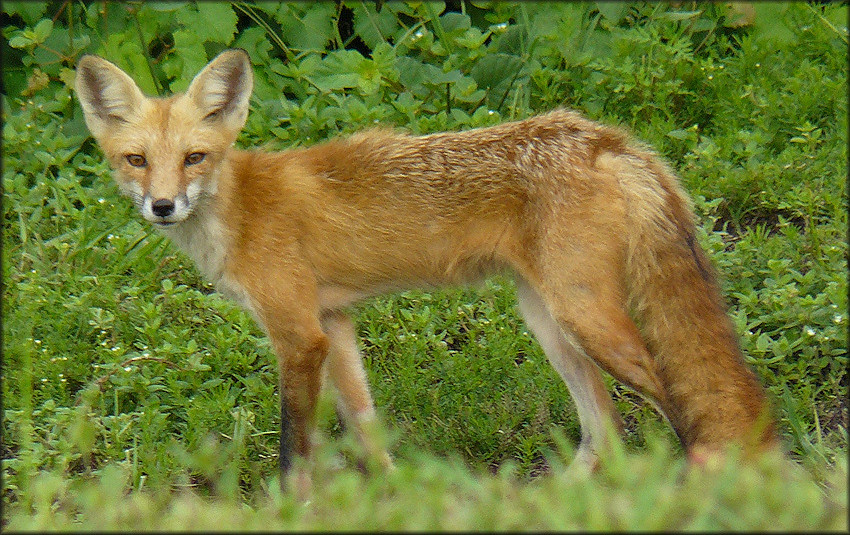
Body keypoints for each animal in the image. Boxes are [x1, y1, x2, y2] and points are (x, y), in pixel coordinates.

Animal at [76, 49, 780, 490]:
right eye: (137, 160)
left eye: (194, 157)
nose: (163, 206)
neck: (241, 210)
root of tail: (604, 137)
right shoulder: (335, 323)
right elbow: (367, 429)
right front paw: (396, 497)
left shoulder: (299, 335)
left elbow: (293, 449)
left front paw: (291, 508)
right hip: (549, 321)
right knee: (603, 431)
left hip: (586, 317)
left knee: (672, 397)